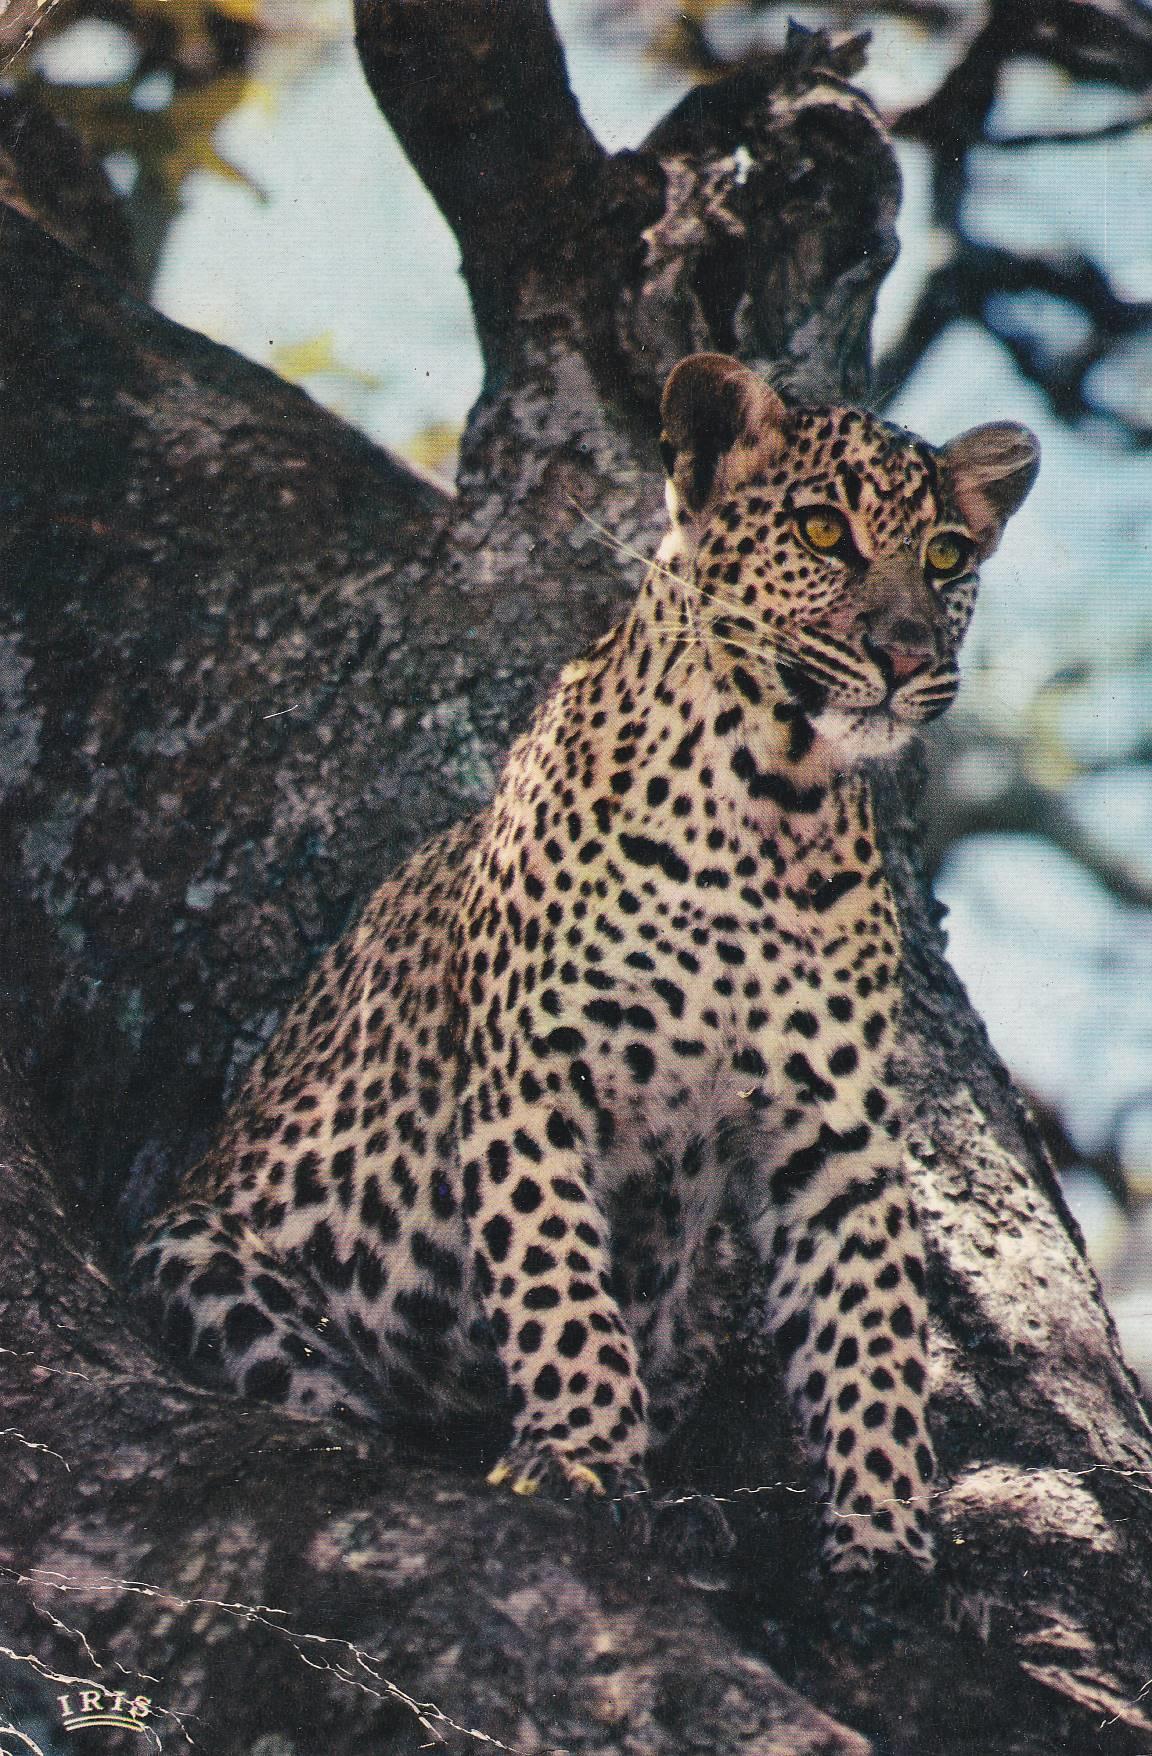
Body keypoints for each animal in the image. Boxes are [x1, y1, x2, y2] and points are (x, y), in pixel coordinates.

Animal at [130, 353, 1039, 1576]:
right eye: (822, 530)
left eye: (945, 555)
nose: (905, 658)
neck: (774, 800)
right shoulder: (535, 1079)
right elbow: (557, 1282)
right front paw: (576, 1457)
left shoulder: (834, 1134)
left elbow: (872, 1333)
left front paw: (885, 1540)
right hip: (197, 1245)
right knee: (321, 1387)